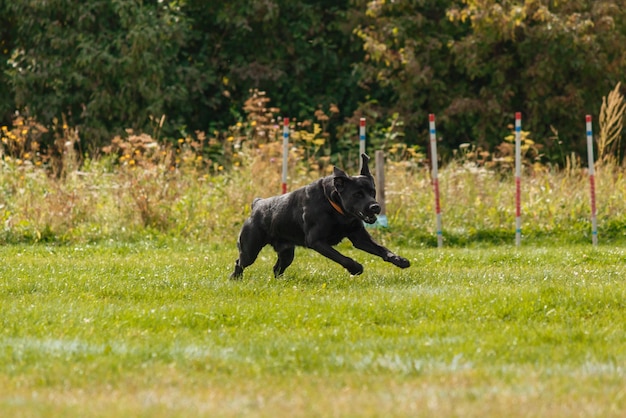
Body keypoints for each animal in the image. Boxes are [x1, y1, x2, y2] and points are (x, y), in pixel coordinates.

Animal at [229, 152, 410, 280]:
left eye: (372, 192)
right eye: (357, 194)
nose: (375, 207)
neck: (337, 209)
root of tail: (257, 204)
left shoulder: (360, 238)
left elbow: (382, 249)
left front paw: (399, 260)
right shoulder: (316, 241)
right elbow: (342, 258)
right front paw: (356, 268)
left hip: (287, 252)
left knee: (277, 268)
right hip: (250, 249)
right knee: (240, 263)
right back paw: (235, 279)